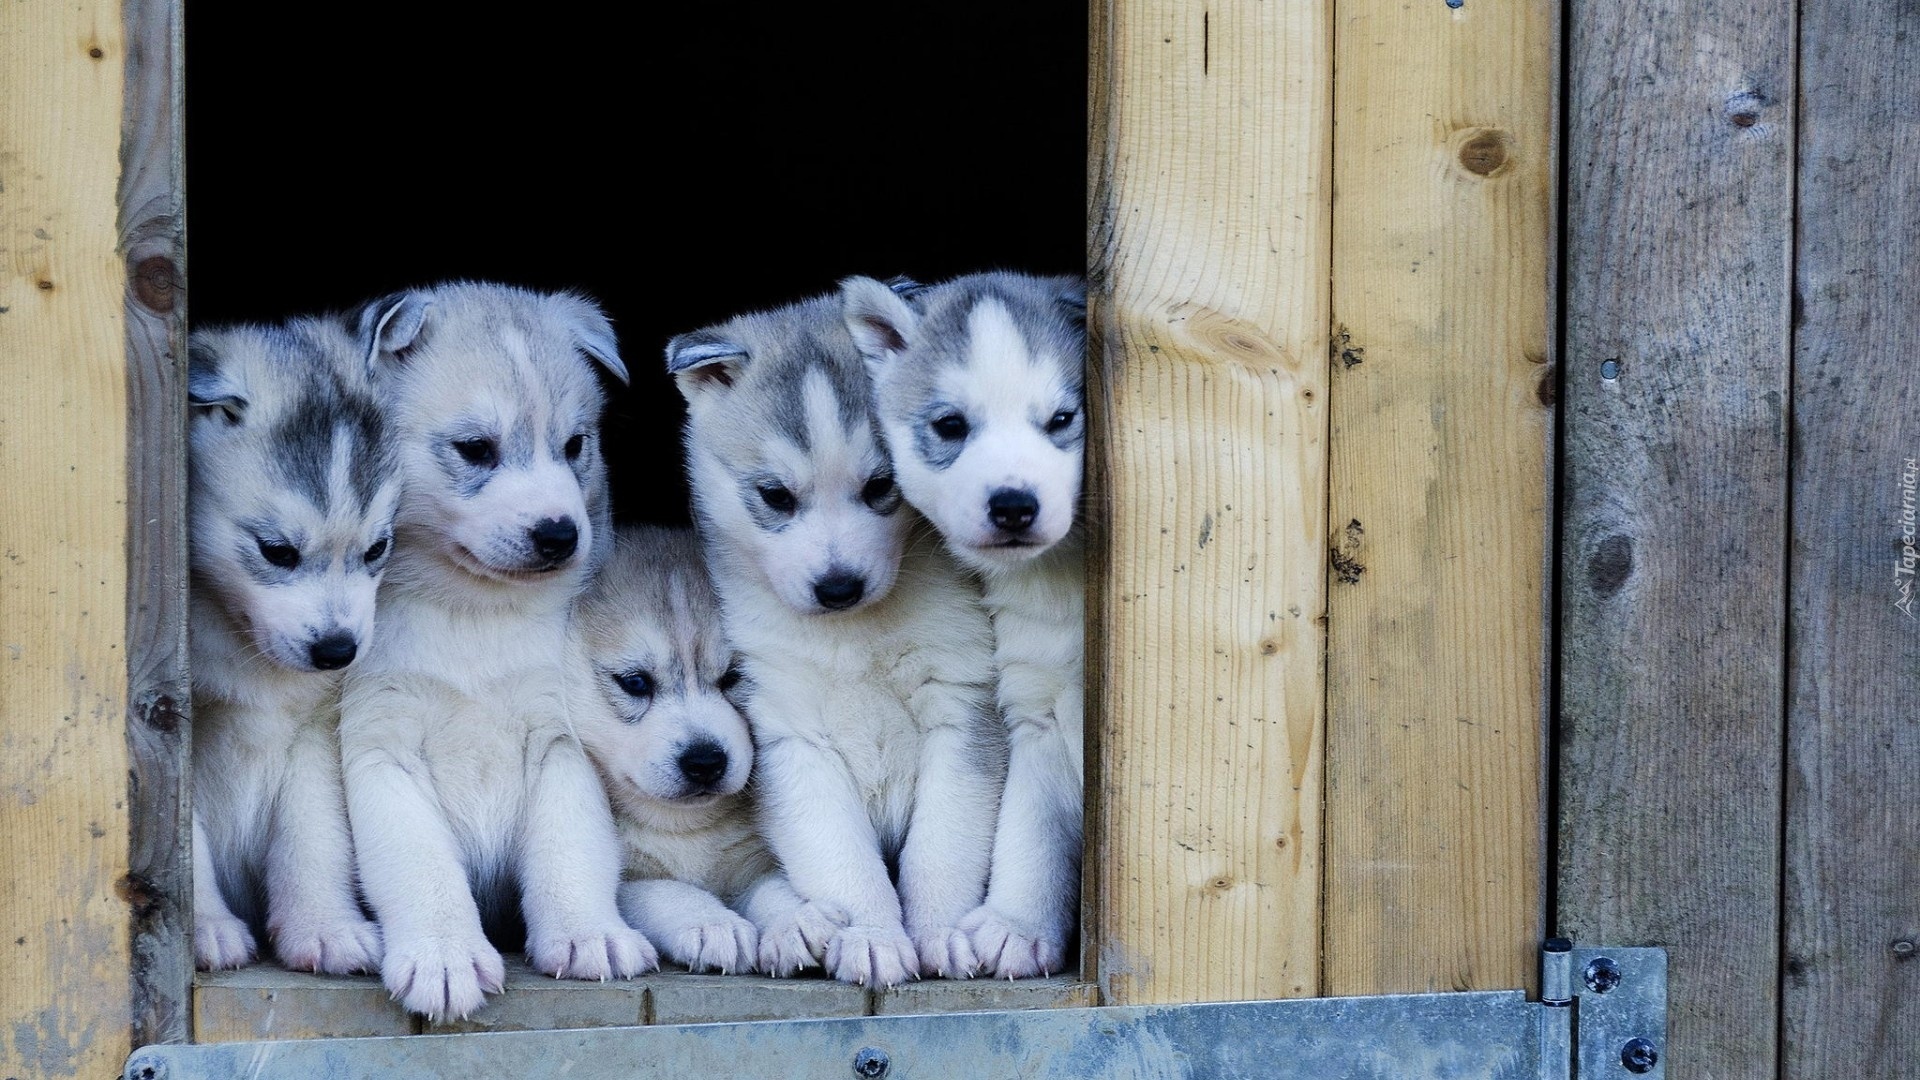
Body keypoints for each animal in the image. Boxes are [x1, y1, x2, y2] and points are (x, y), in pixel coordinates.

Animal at [185, 307, 403, 972]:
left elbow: (315, 834)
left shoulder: (315, 729)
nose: (337, 650)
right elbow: (187, 845)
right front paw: (205, 927)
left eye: (377, 548)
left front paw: (323, 925)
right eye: (277, 551)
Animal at [337, 278, 652, 1014]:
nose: (560, 534)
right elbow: (420, 861)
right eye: (476, 448)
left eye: (575, 444)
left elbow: (571, 845)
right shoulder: (380, 745)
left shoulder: (559, 737)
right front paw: (443, 955)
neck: (470, 613)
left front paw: (589, 933)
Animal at [572, 526, 837, 972]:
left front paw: (795, 919)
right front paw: (712, 923)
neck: (685, 830)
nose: (705, 761)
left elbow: (770, 886)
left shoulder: (755, 859)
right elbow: (664, 890)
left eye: (734, 676)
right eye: (636, 682)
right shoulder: (629, 882)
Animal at [672, 288, 1006, 983]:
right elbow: (843, 861)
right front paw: (872, 936)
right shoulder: (790, 734)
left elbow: (942, 847)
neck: (856, 638)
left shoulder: (962, 706)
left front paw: (938, 933)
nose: (838, 586)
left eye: (882, 485)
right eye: (775, 495)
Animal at [844, 269, 1098, 976]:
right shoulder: (1035, 708)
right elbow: (1031, 827)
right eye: (950, 425)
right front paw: (1017, 924)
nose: (1013, 504)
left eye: (1061, 419)